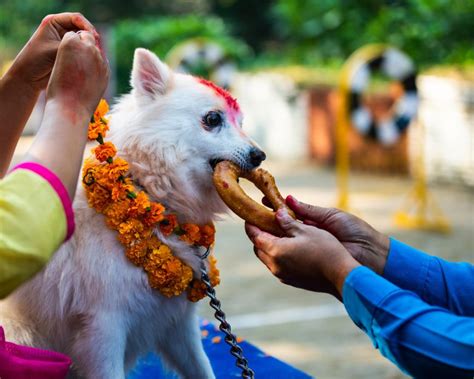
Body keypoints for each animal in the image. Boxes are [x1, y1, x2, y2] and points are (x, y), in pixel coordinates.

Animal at [0, 48, 264, 379]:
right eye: (212, 119)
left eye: (241, 122)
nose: (260, 155)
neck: (151, 196)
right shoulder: (103, 329)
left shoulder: (178, 326)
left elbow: (203, 369)